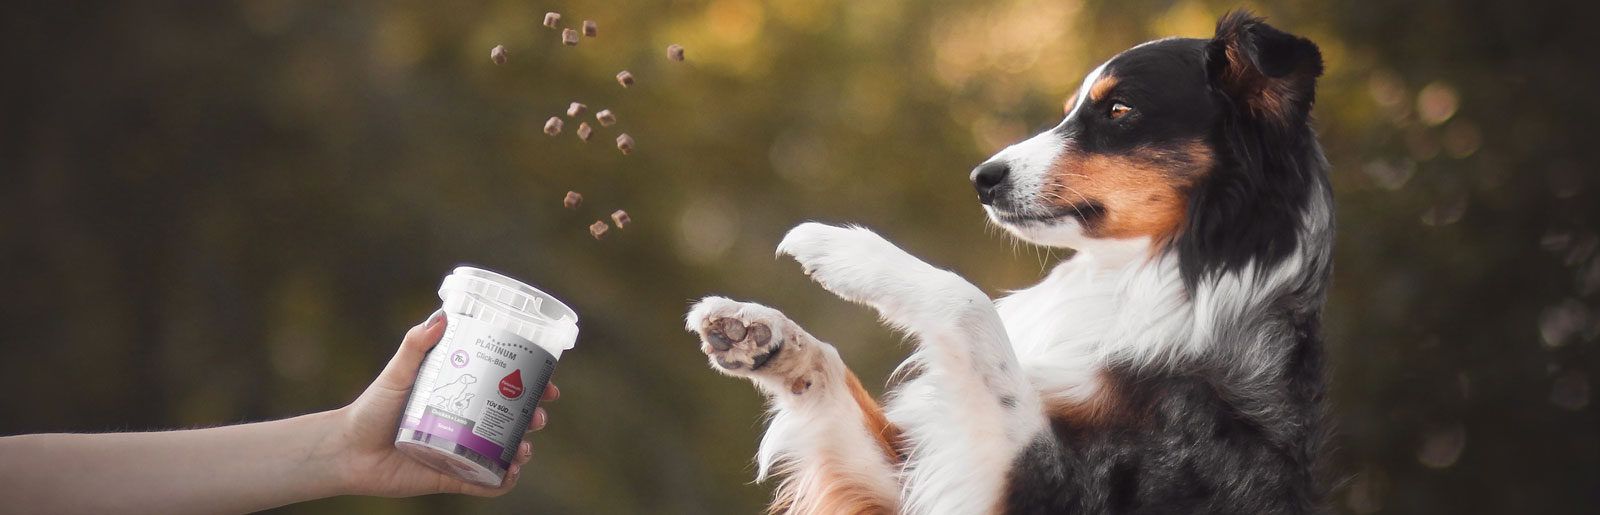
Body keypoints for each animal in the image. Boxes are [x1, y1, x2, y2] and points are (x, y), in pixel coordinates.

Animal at [691, 12, 1337, 515]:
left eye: (1119, 108)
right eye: (1071, 109)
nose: (981, 178)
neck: (1163, 272)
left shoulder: (1043, 482)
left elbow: (970, 306)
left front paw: (846, 248)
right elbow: (831, 370)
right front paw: (764, 335)